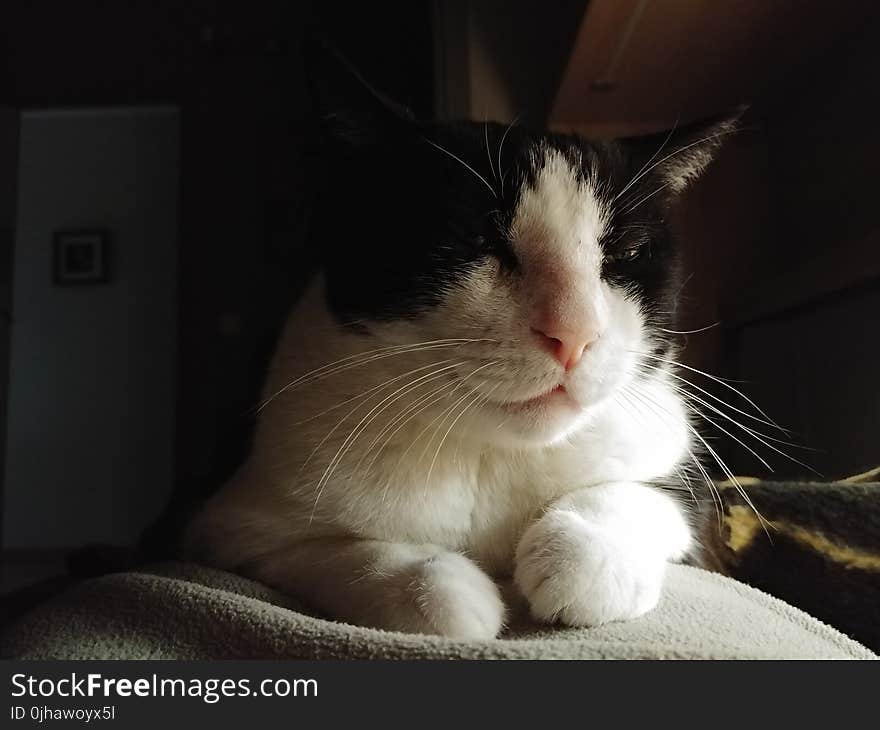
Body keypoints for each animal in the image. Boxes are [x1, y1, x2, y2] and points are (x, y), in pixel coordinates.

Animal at [182, 45, 740, 636]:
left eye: (624, 254)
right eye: (473, 239)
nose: (574, 334)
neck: (493, 454)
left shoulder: (685, 498)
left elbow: (639, 497)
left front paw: (584, 557)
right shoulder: (232, 526)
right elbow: (338, 552)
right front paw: (436, 588)